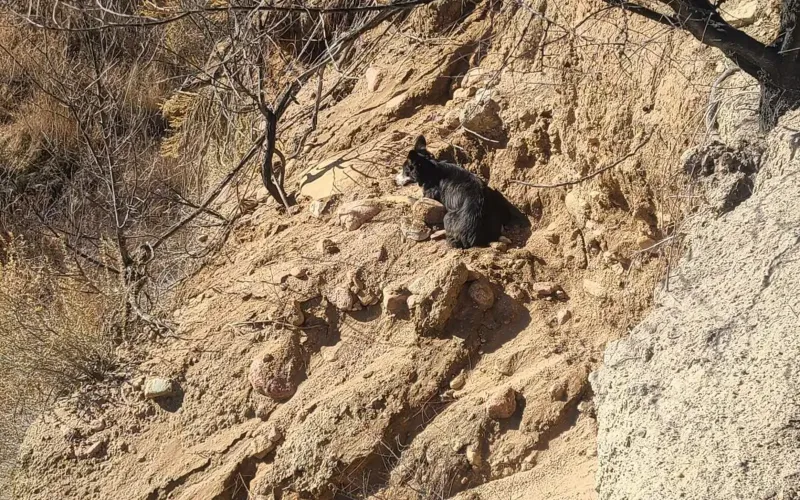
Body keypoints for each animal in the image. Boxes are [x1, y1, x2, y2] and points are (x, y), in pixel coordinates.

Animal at [396, 136, 532, 249]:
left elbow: (416, 199)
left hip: (448, 217)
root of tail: (473, 237)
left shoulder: (429, 194)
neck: (430, 167)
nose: (395, 180)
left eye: (404, 171)